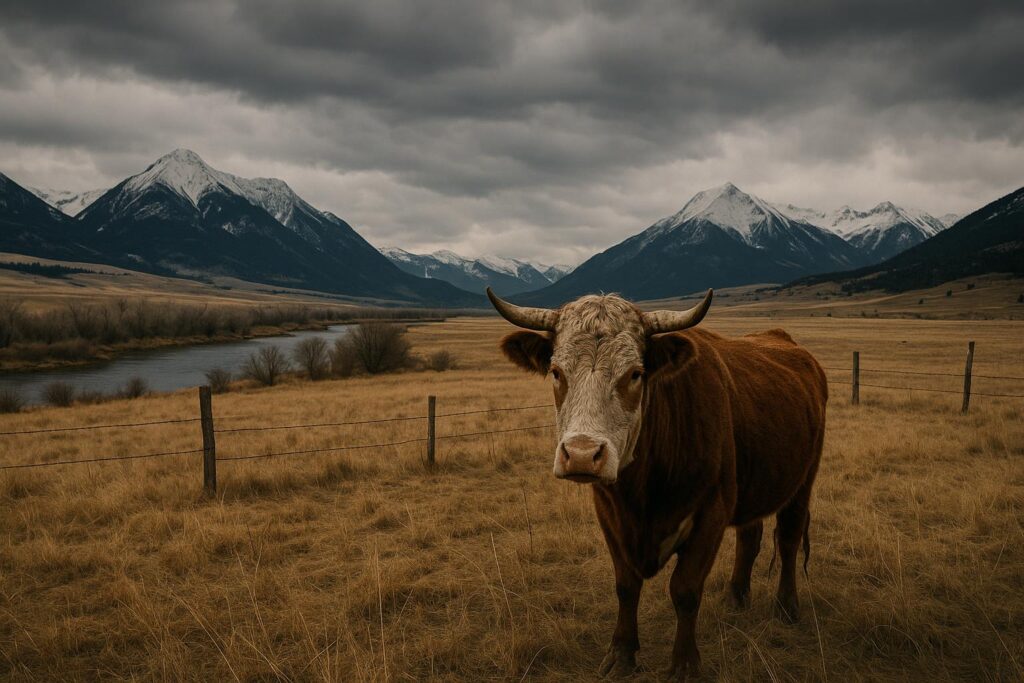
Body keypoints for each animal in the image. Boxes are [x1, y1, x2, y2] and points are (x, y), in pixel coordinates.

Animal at [486, 287, 827, 680]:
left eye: (635, 374)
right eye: (556, 372)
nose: (583, 455)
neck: (643, 489)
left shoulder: (711, 513)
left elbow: (685, 589)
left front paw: (684, 664)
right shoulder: (611, 516)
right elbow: (626, 585)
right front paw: (622, 654)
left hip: (802, 481)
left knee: (787, 539)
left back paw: (787, 607)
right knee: (750, 537)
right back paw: (736, 597)